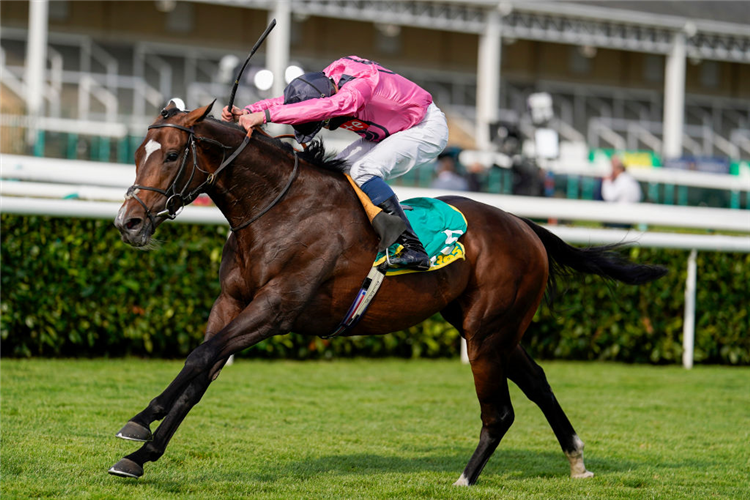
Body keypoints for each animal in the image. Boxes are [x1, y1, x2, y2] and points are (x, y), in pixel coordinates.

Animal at [110, 99, 664, 486]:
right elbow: (200, 372)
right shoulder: (231, 303)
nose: (128, 223)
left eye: (173, 154)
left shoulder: (276, 308)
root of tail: (524, 225)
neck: (278, 209)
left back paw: (465, 478)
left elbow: (199, 358)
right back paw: (576, 461)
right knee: (539, 382)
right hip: (493, 328)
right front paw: (140, 457)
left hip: (487, 334)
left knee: (500, 411)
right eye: (137, 155)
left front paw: (137, 423)